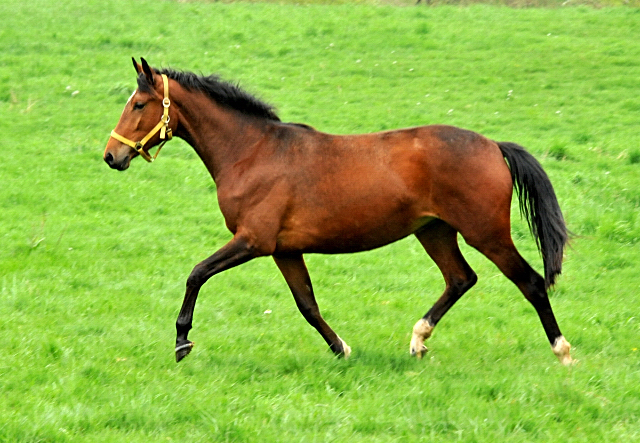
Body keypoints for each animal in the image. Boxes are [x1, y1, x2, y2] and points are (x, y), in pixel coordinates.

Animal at [104, 57, 576, 366]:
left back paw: (563, 351)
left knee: (531, 282)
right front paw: (341, 349)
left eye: (139, 105)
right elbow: (307, 305)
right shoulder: (283, 250)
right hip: (434, 231)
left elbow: (197, 273)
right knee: (461, 278)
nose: (111, 156)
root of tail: (493, 146)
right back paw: (418, 340)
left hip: (486, 232)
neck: (252, 152)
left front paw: (182, 342)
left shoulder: (253, 240)